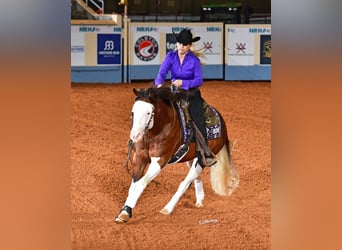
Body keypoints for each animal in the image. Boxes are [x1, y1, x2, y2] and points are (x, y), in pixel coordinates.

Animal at [113, 85, 239, 223]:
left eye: (148, 113)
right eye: (133, 112)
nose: (135, 136)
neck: (160, 129)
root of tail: (223, 125)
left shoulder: (160, 160)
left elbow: (141, 183)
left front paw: (125, 213)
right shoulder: (140, 158)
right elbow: (134, 184)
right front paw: (125, 211)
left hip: (202, 160)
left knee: (185, 182)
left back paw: (167, 209)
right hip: (191, 158)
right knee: (195, 178)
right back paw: (199, 201)